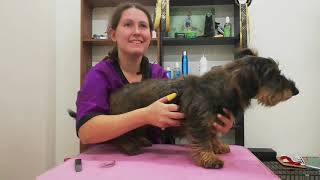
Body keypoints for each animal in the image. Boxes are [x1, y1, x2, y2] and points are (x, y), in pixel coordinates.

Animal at [70, 48, 300, 169]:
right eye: (273, 75)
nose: (296, 90)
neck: (220, 86)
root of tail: (114, 94)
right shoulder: (198, 123)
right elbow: (202, 141)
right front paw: (209, 158)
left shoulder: (211, 121)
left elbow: (212, 135)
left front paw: (217, 146)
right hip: (125, 121)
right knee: (121, 136)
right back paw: (131, 146)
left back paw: (141, 141)